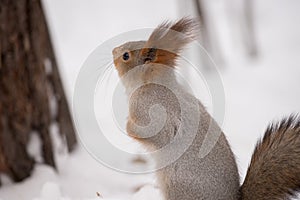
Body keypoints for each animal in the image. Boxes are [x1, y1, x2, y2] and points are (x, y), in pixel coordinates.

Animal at [112, 17, 300, 200]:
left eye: (126, 56)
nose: (113, 50)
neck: (154, 84)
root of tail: (234, 198)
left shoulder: (150, 109)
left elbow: (151, 134)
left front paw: (127, 125)